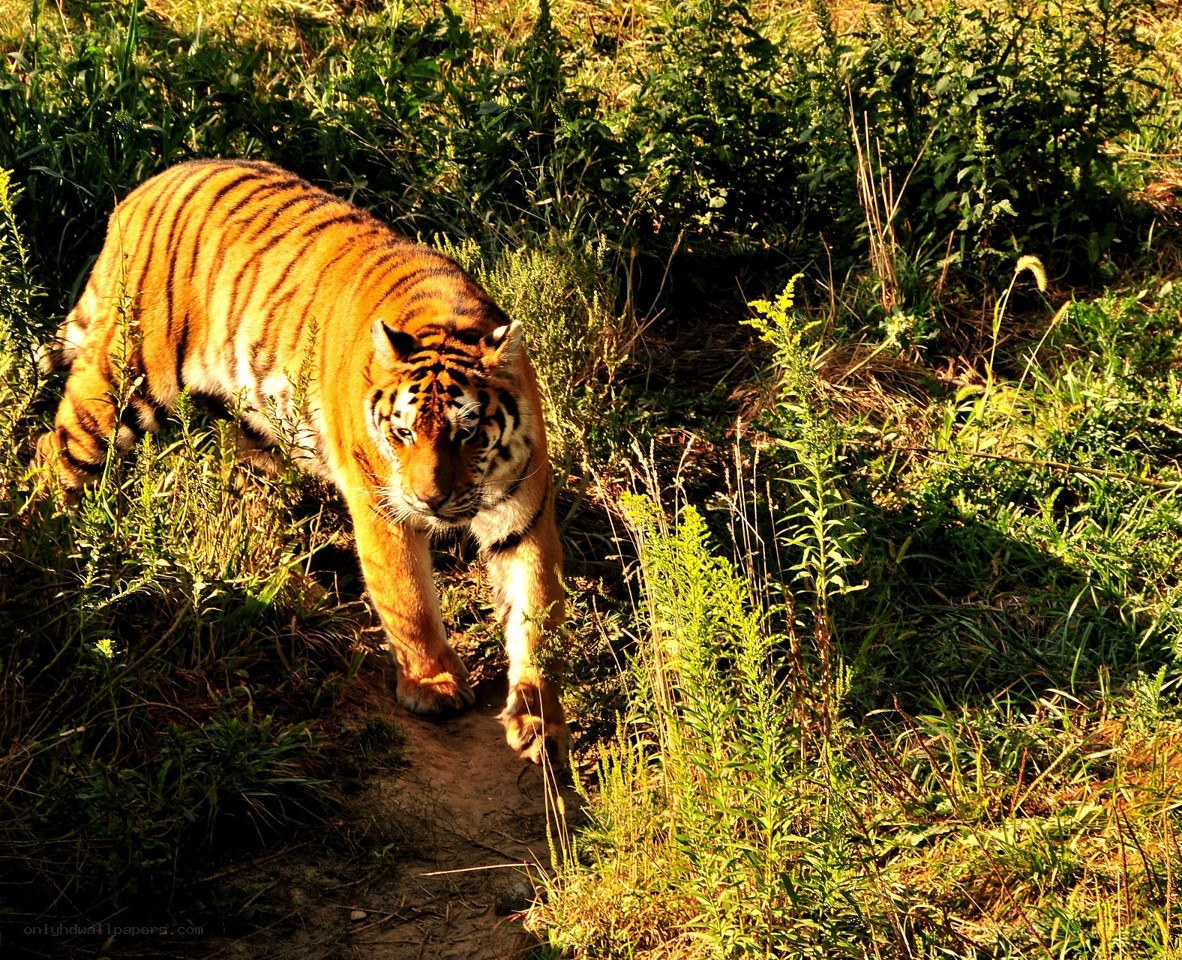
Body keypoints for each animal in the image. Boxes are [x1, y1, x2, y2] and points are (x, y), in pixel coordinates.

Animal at [35, 158, 571, 766]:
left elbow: (538, 615)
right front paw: (433, 685)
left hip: (239, 416)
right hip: (124, 381)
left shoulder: (524, 513)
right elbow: (407, 596)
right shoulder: (381, 503)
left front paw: (539, 719)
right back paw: (52, 543)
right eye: (403, 434)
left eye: (468, 433)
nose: (429, 501)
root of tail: (144, 190)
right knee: (56, 451)